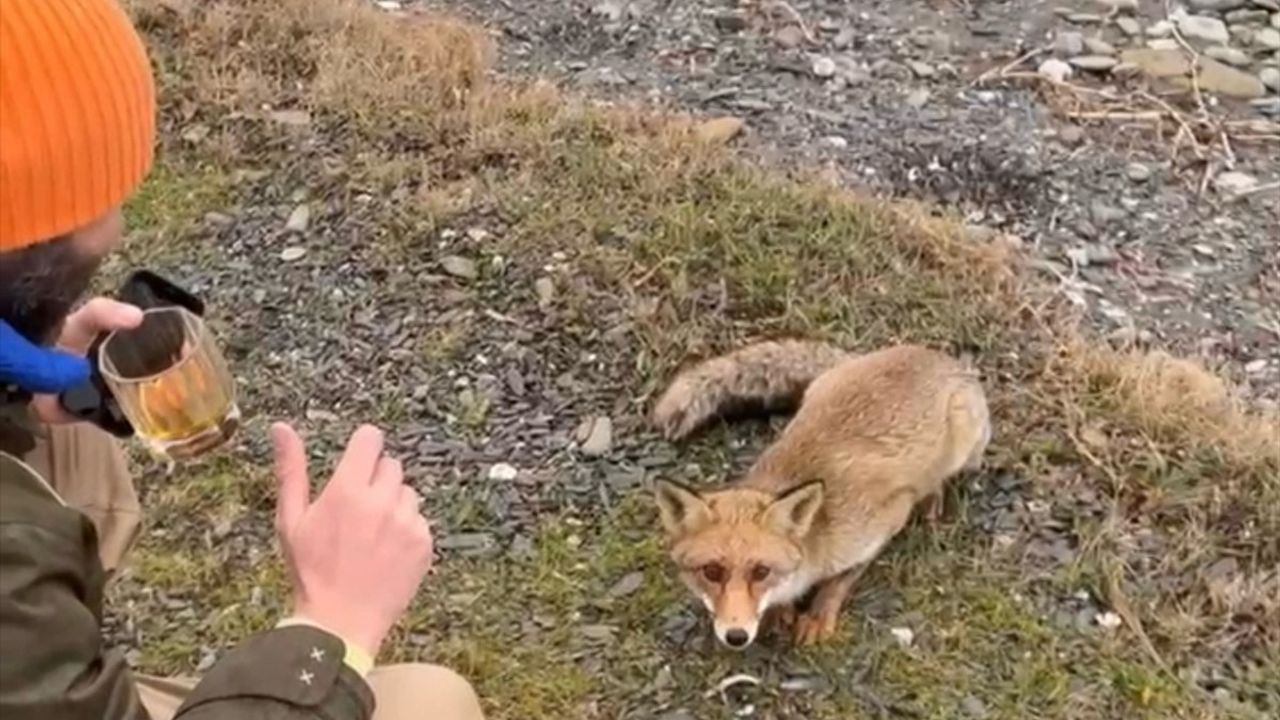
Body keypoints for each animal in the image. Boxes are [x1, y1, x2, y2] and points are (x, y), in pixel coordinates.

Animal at [650, 338, 988, 648]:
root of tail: (929, 352)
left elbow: (842, 578)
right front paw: (782, 609)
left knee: (943, 477)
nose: (736, 636)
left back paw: (933, 499)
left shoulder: (886, 519)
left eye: (761, 571)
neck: (818, 531)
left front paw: (818, 611)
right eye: (711, 571)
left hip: (962, 441)